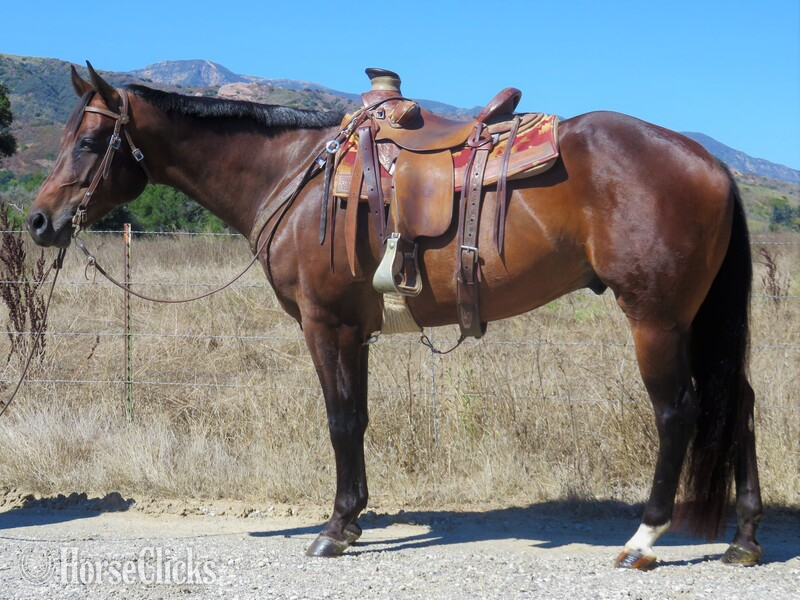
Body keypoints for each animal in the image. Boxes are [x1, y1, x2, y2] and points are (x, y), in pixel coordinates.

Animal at [26, 63, 763, 569]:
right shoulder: (354, 331)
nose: (38, 221)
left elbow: (339, 421)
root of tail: (711, 164)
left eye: (89, 142)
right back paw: (745, 539)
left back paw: (644, 537)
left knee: (678, 412)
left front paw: (333, 530)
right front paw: (352, 520)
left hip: (657, 320)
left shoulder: (324, 324)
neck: (294, 175)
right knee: (738, 403)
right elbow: (357, 420)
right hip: (698, 322)